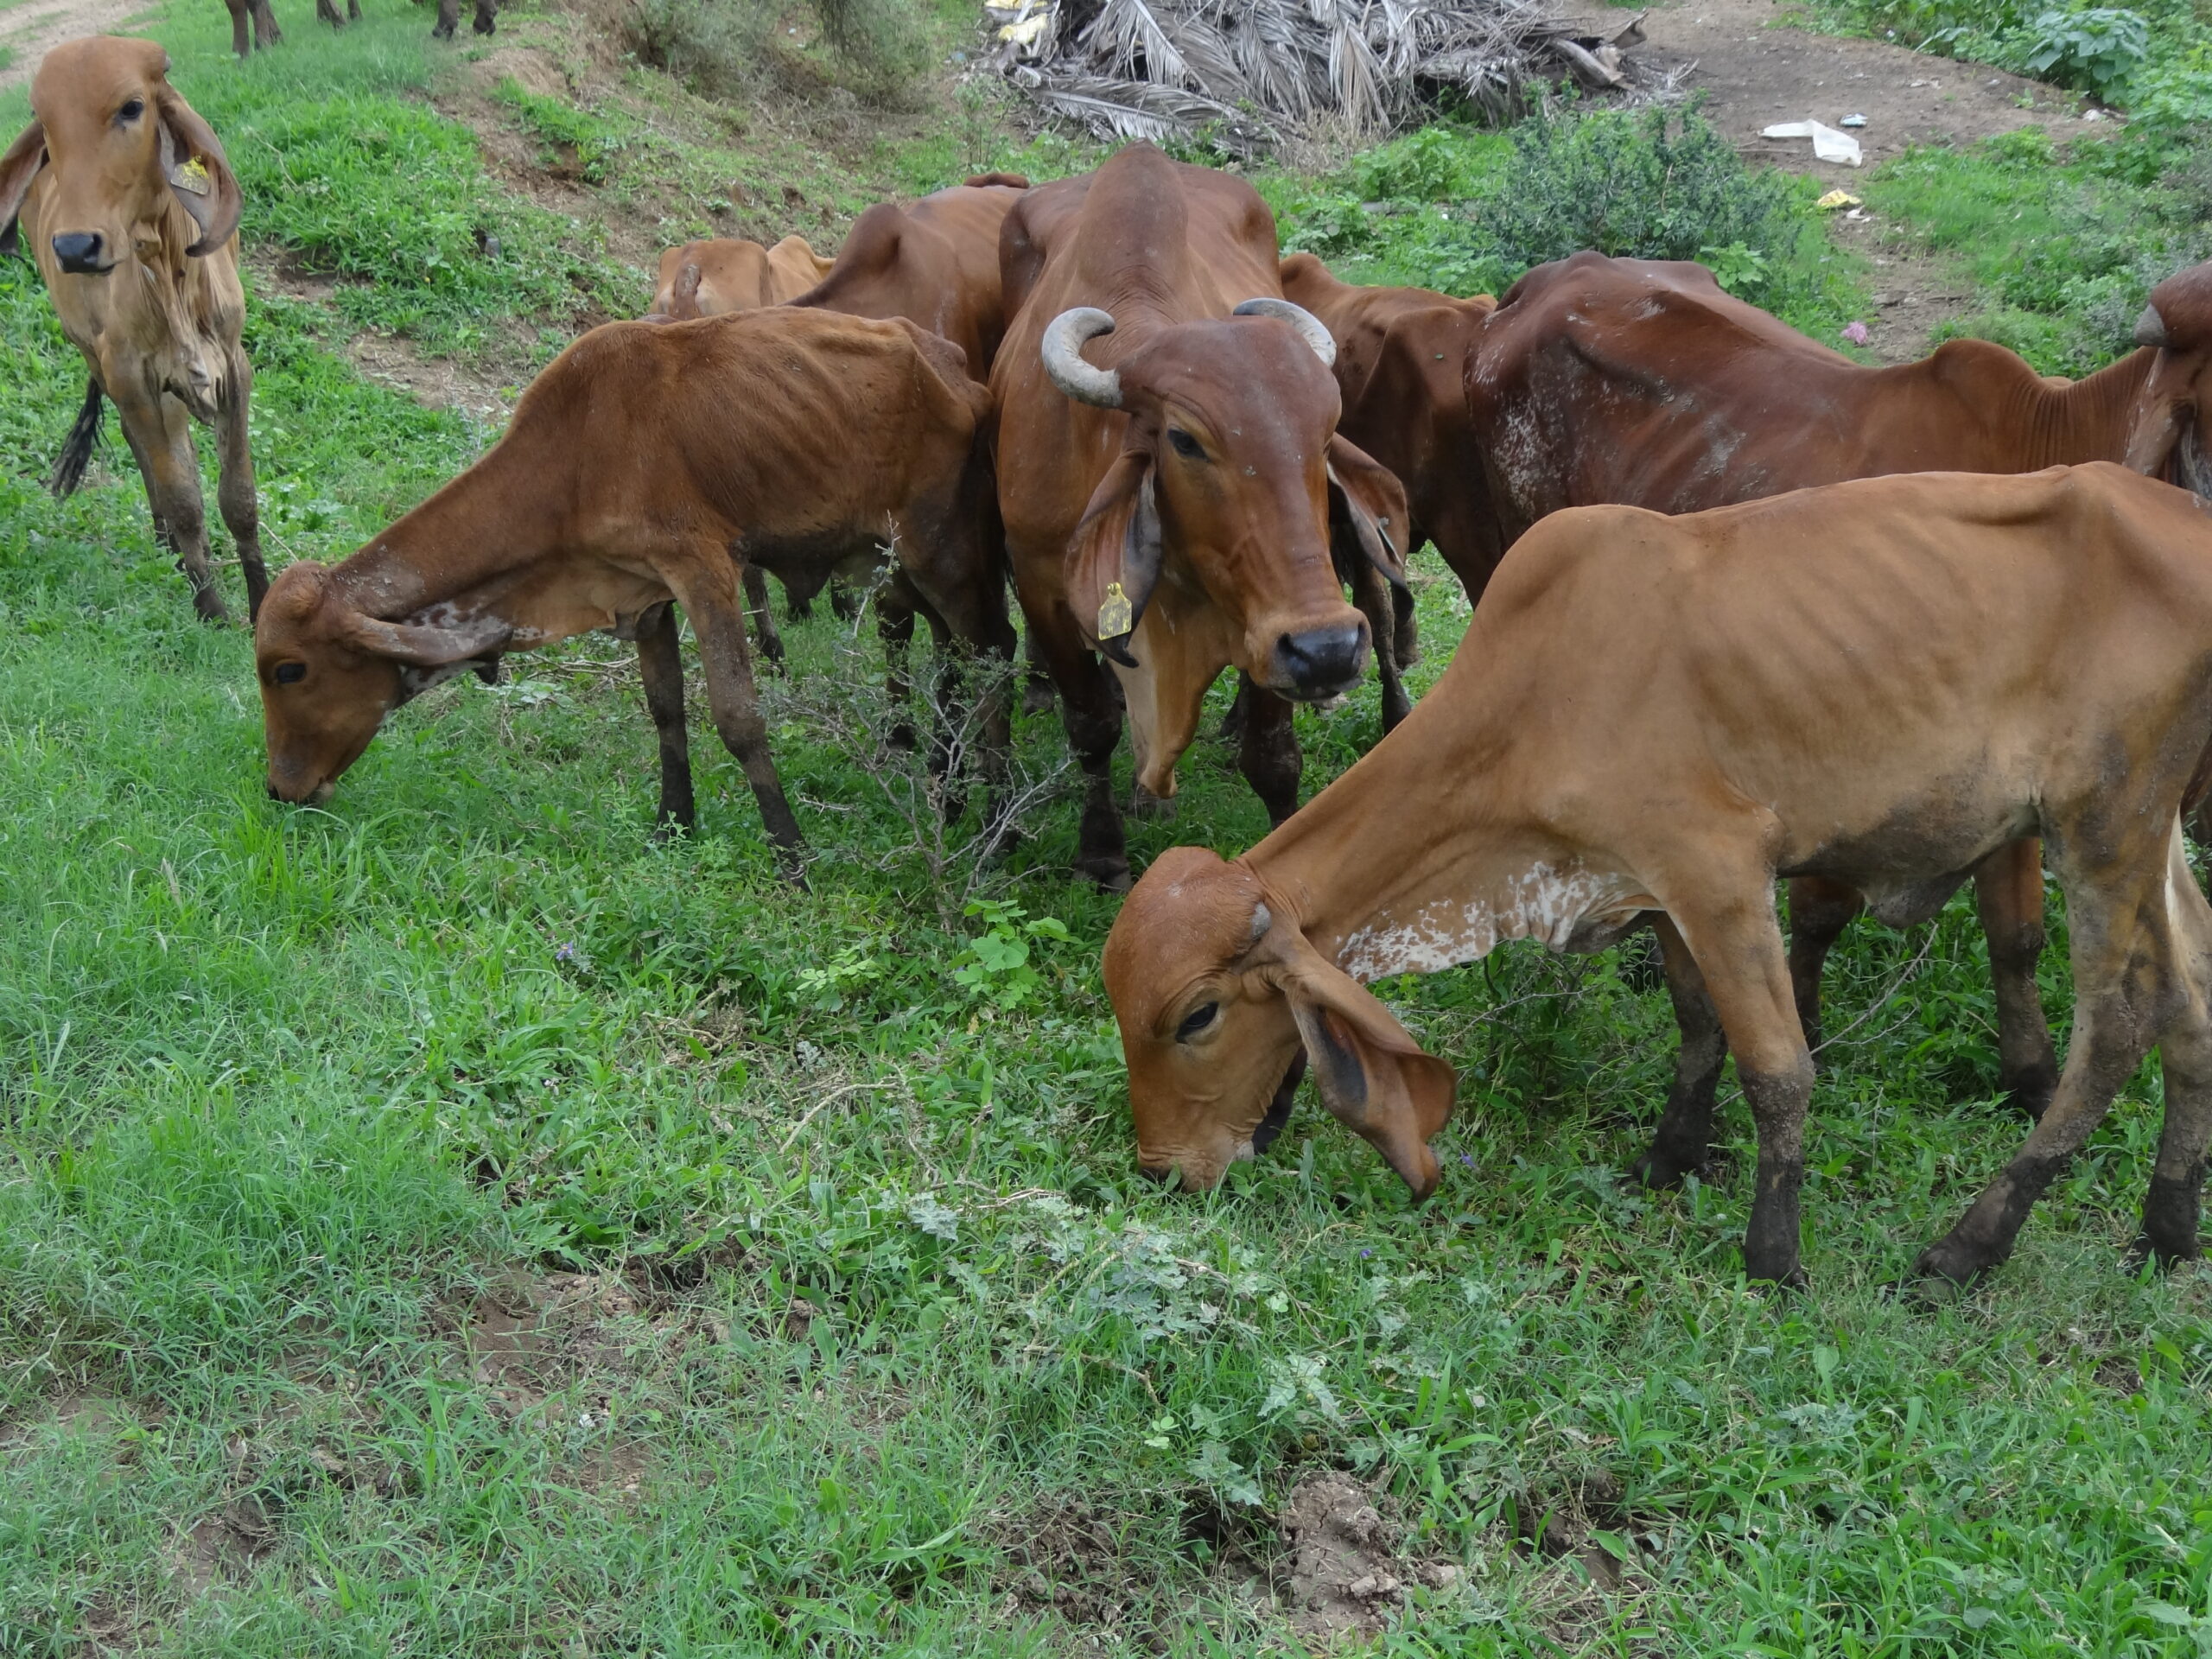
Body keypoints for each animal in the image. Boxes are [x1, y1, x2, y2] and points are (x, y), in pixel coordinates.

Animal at [0, 37, 268, 624]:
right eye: (44, 123)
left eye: (131, 108)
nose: (75, 248)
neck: (166, 264)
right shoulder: (130, 377)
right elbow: (183, 498)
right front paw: (210, 608)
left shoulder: (232, 367)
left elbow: (238, 497)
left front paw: (262, 603)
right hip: (94, 356)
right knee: (142, 449)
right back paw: (172, 548)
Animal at [253, 308, 1012, 879]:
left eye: (290, 670)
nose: (279, 789)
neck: (573, 460)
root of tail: (956, 367)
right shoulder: (645, 592)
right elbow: (665, 708)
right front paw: (674, 823)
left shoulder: (704, 568)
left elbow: (737, 718)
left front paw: (792, 854)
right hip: (906, 569)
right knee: (952, 657)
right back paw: (950, 795)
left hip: (942, 553)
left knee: (994, 657)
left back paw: (997, 825)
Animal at [992, 144, 1410, 891]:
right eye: (1185, 440)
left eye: (1324, 432)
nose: (1328, 649)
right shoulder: (1043, 591)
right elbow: (1091, 724)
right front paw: (1102, 850)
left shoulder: (1268, 622)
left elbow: (1274, 755)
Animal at [1105, 463, 2212, 1289]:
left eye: (1197, 1017)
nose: (1158, 1173)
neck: (1528, 700)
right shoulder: (1654, 888)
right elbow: (1696, 1030)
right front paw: (1670, 1157)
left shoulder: (1718, 869)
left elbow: (1776, 1068)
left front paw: (1773, 1258)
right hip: (2153, 836)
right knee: (2190, 1001)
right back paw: (2165, 1229)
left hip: (2101, 824)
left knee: (2117, 1028)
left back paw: (1970, 1246)